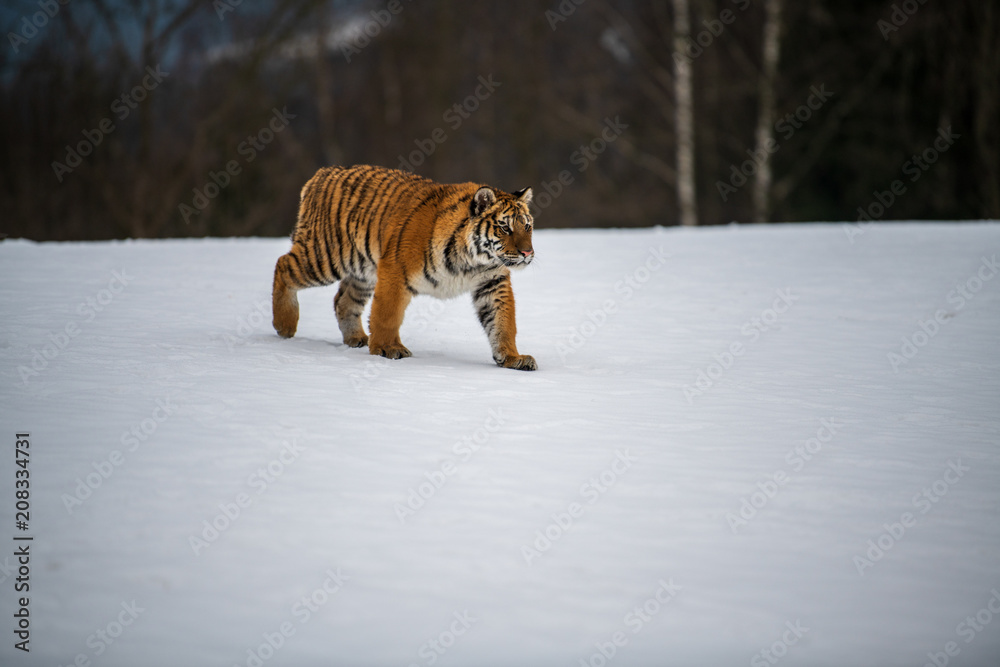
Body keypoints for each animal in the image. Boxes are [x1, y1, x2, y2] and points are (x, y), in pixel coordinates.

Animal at [271, 164, 537, 370]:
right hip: (324, 257)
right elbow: (387, 314)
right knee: (282, 265)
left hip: (362, 271)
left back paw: (356, 339)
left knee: (343, 301)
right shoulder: (395, 271)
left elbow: (503, 321)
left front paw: (512, 358)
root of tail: (323, 173)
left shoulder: (492, 282)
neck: (473, 261)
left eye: (527, 226)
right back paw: (284, 325)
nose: (527, 253)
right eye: (505, 228)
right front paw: (387, 349)